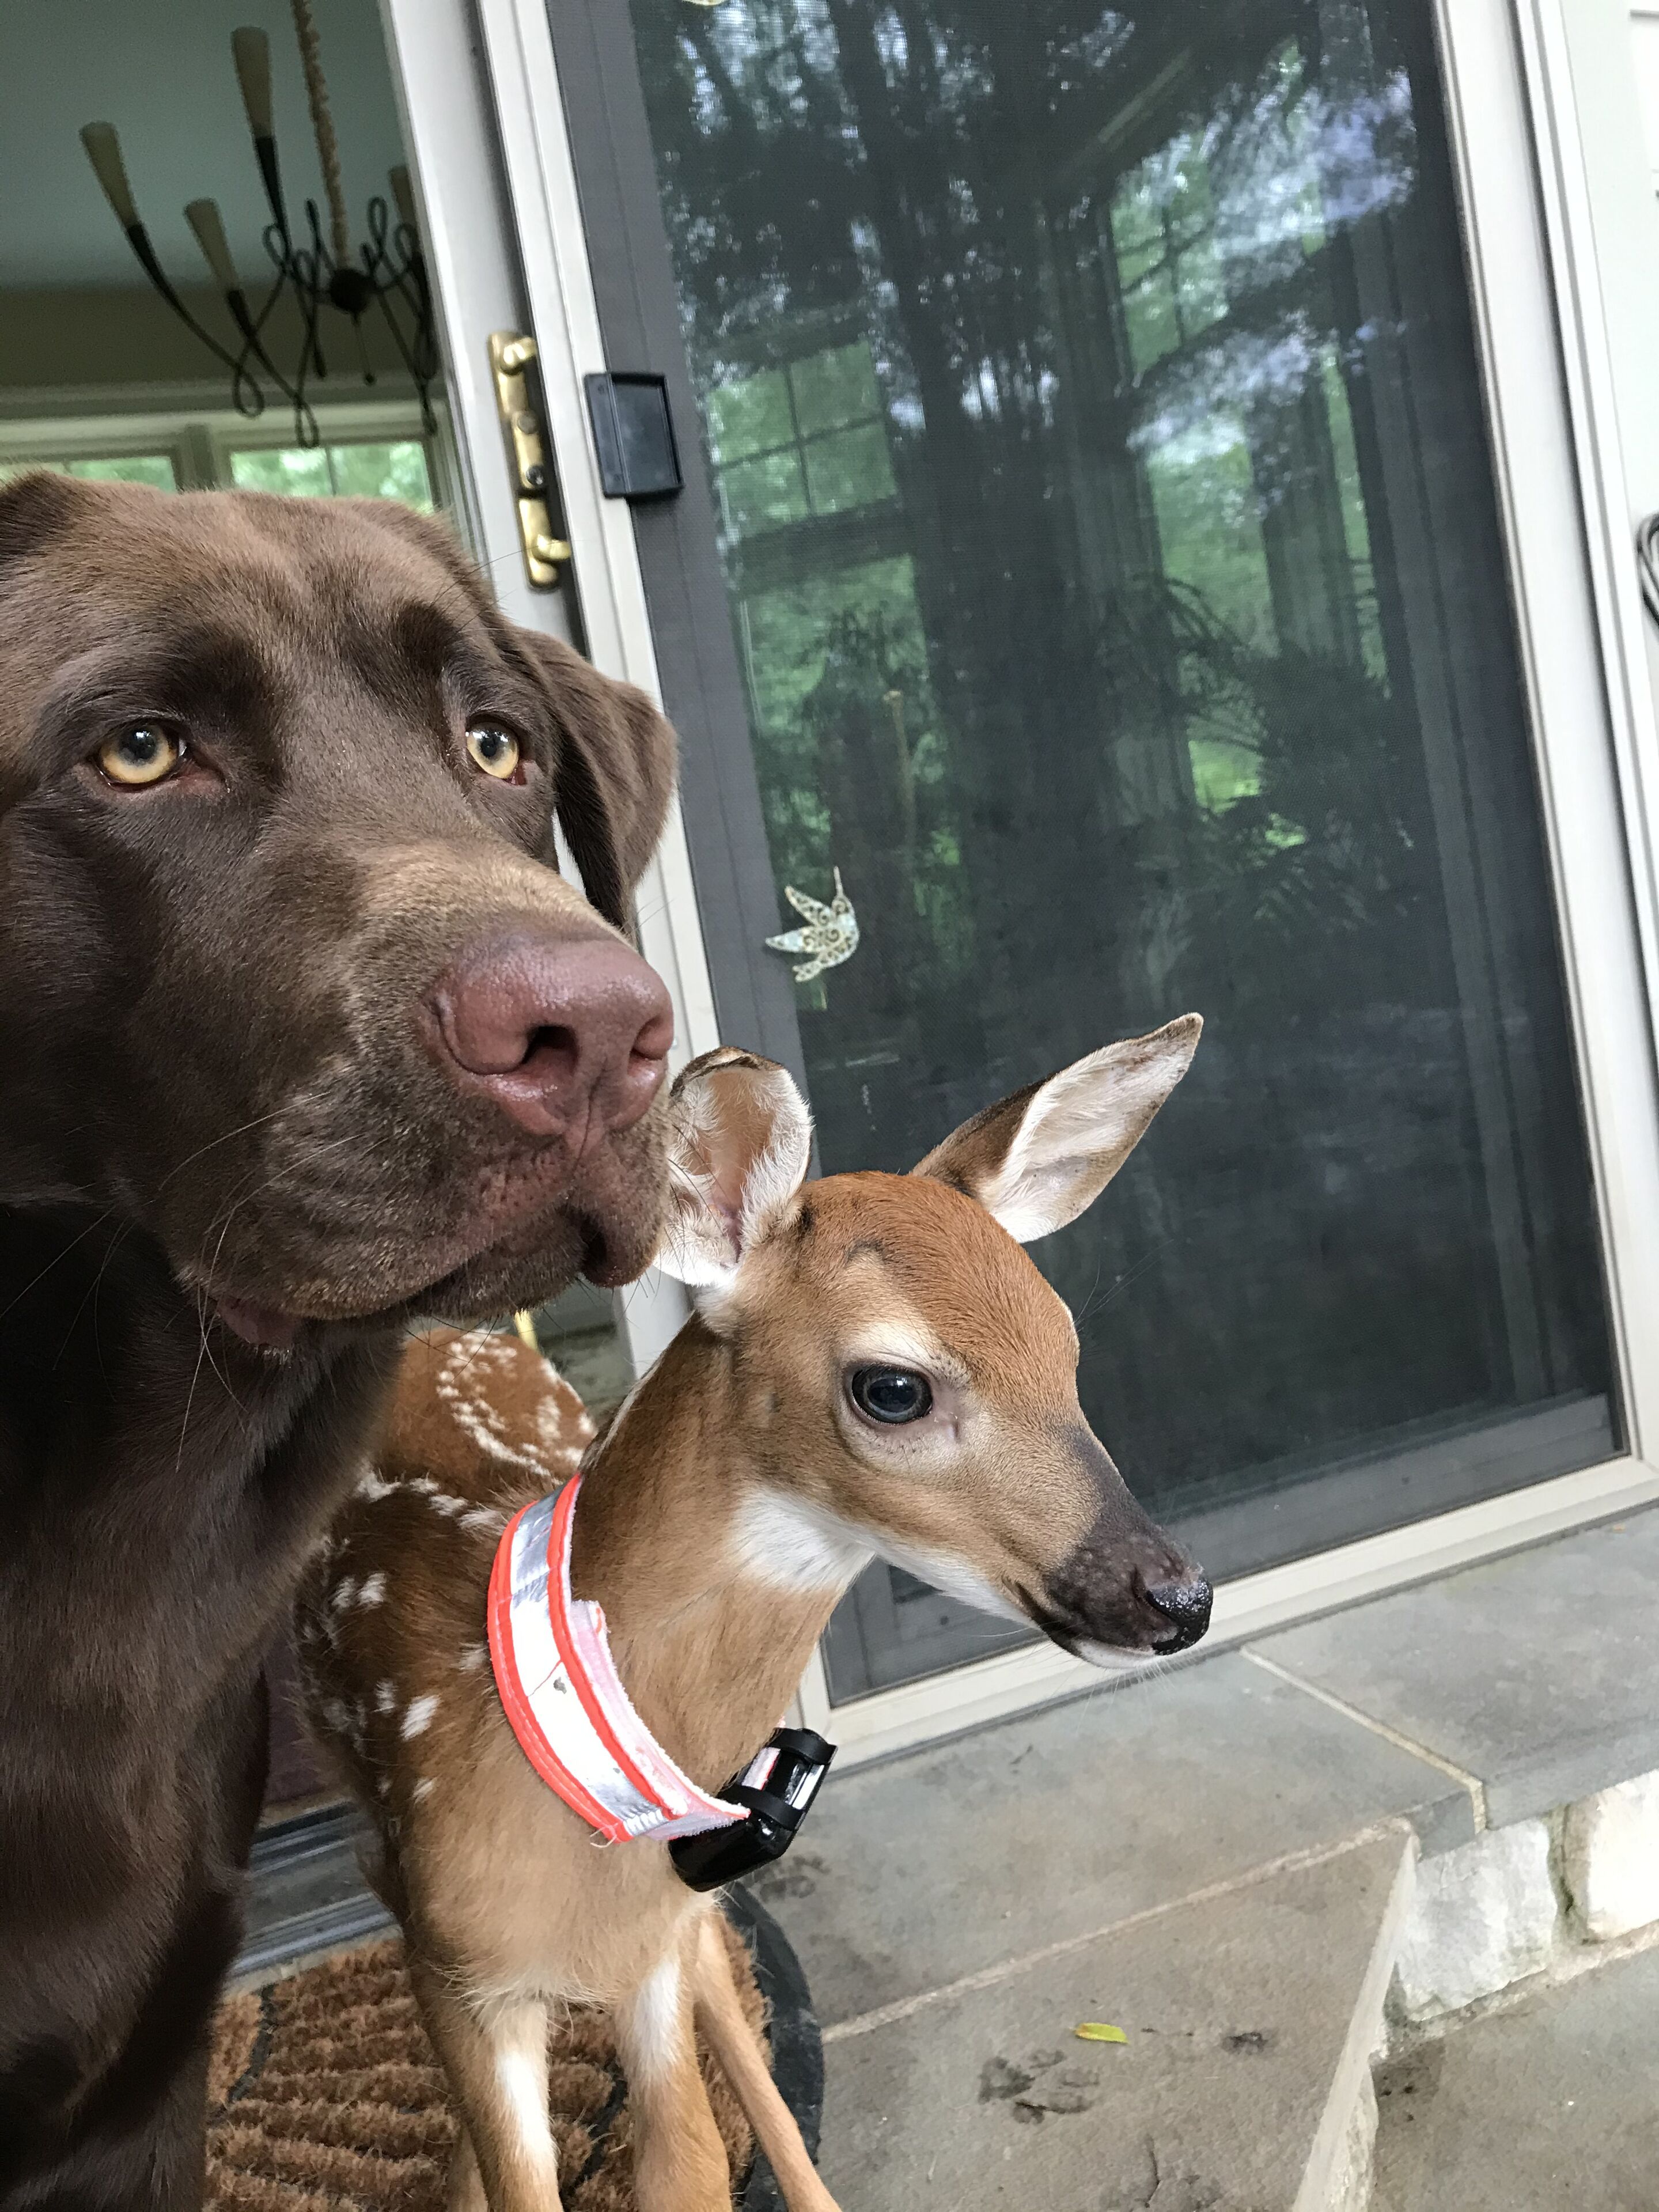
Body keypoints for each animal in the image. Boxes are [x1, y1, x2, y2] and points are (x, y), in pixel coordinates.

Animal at [295, 1019, 1211, 2212]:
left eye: (1065, 1344)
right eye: (893, 1388)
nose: (1177, 1595)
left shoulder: (644, 1955)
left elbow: (685, 2165)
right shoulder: (462, 1971)